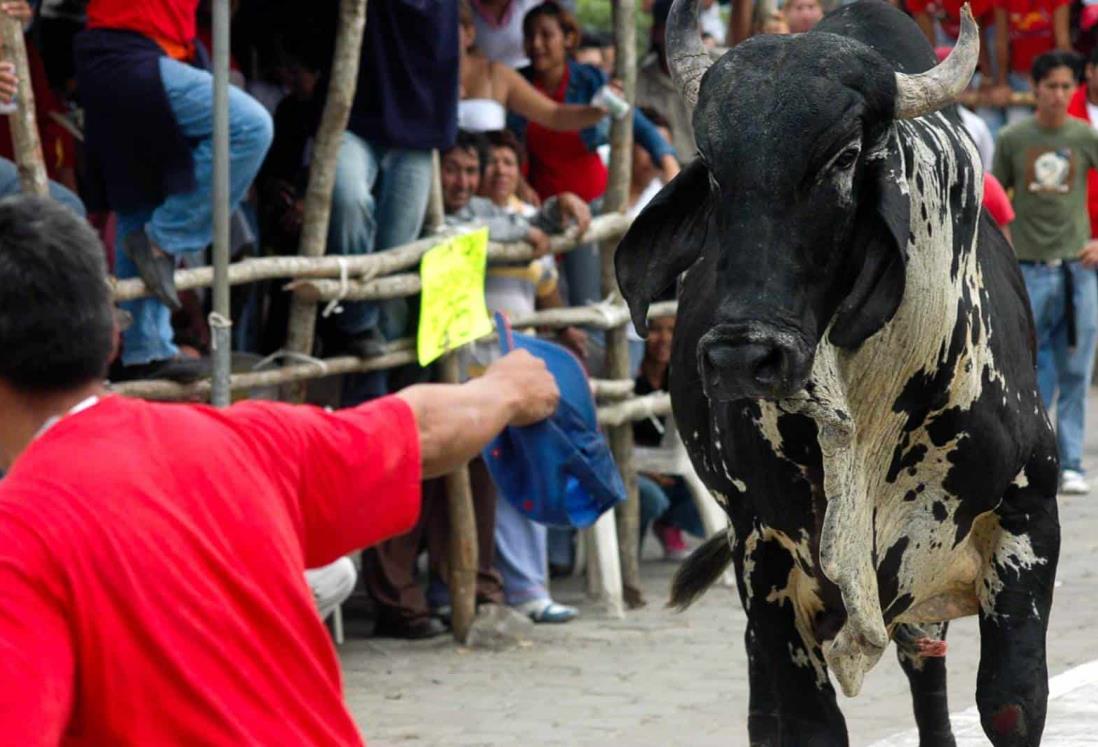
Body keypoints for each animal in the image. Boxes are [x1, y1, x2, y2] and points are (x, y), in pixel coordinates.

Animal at [614, 2, 1058, 742]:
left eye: (845, 157)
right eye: (713, 167)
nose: (743, 355)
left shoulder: (1029, 517)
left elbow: (1010, 701)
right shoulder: (763, 552)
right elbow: (808, 722)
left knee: (926, 674)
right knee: (765, 706)